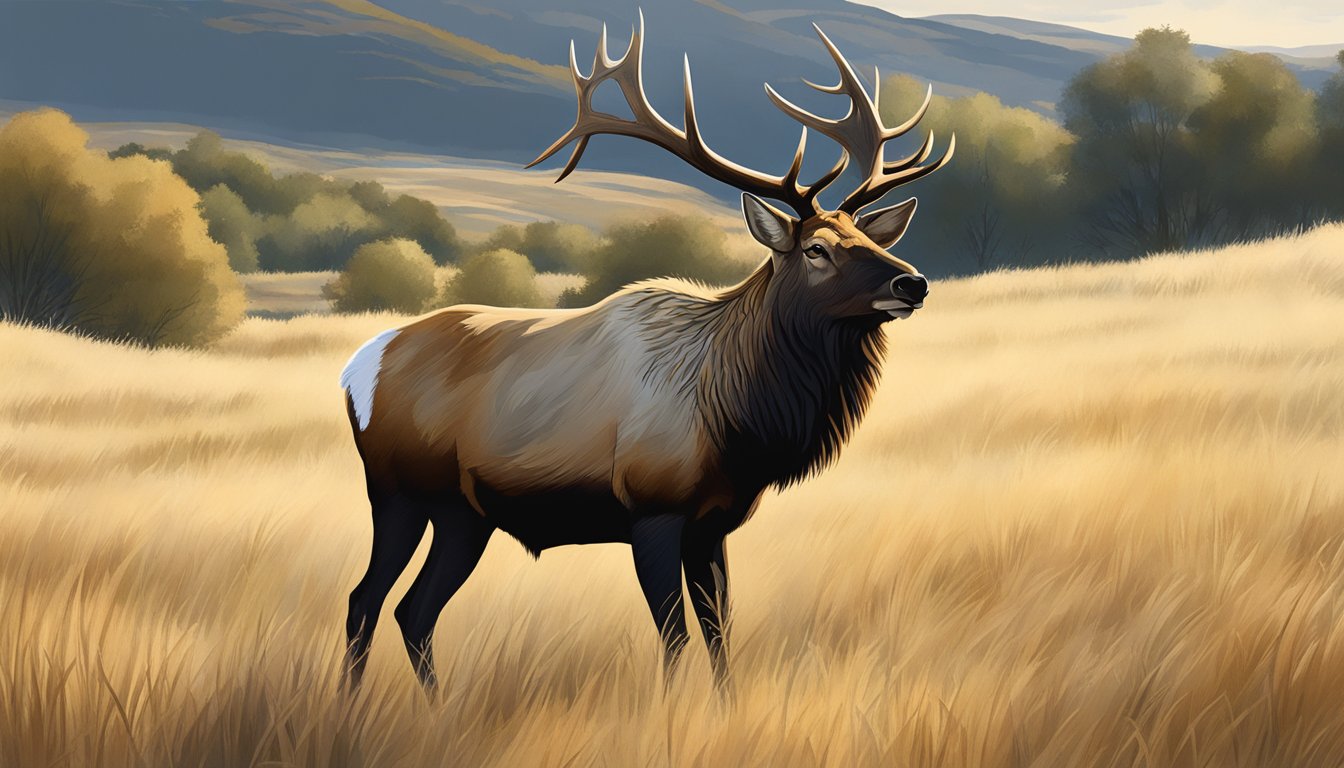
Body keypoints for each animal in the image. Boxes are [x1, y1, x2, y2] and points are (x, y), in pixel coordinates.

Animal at [344, 16, 956, 688]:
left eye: (866, 237)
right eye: (816, 248)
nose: (912, 283)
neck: (736, 417)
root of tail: (359, 366)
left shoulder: (713, 523)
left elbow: (719, 634)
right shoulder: (652, 510)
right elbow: (674, 637)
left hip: (463, 514)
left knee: (412, 610)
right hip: (396, 493)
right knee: (366, 599)